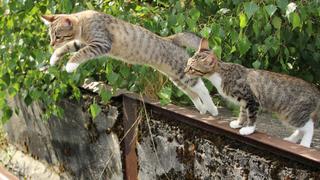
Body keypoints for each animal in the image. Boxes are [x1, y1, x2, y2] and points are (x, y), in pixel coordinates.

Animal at [40, 10, 219, 115]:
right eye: (51, 36)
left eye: (58, 36)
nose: (51, 44)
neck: (84, 22)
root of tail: (171, 39)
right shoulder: (83, 42)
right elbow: (70, 46)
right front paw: (54, 57)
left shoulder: (100, 43)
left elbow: (80, 53)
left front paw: (70, 65)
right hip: (176, 78)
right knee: (193, 92)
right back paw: (202, 108)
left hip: (182, 72)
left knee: (202, 88)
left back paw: (212, 108)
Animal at [184, 38, 318, 148]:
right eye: (187, 63)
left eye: (192, 68)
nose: (184, 71)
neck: (221, 74)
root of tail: (314, 89)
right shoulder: (244, 102)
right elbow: (243, 113)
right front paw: (238, 123)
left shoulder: (251, 99)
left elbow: (251, 115)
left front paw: (248, 129)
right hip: (287, 115)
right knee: (302, 128)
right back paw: (291, 139)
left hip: (292, 114)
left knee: (309, 126)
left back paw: (305, 144)